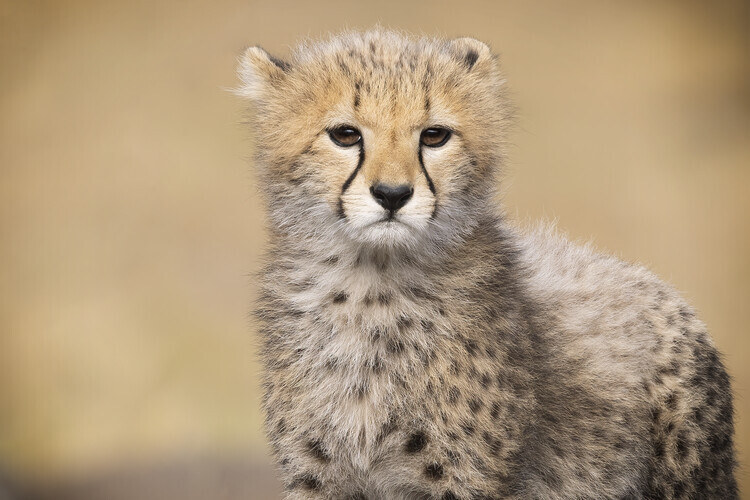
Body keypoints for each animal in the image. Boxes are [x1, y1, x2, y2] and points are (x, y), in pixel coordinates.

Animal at [236, 29, 737, 499]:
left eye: (434, 135)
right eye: (345, 134)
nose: (393, 195)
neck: (370, 287)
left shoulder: (465, 476)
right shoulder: (319, 473)